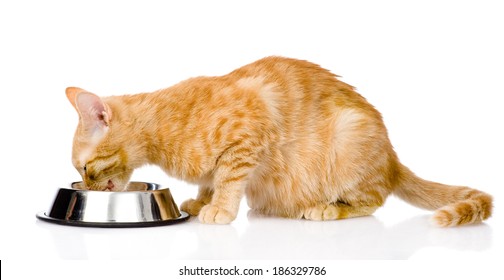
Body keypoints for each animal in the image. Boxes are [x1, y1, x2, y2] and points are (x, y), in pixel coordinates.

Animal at [66, 55, 492, 226]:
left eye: (85, 168)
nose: (85, 186)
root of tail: (392, 158)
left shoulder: (246, 138)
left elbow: (227, 179)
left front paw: (219, 209)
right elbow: (210, 179)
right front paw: (203, 201)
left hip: (350, 136)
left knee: (373, 202)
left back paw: (327, 209)